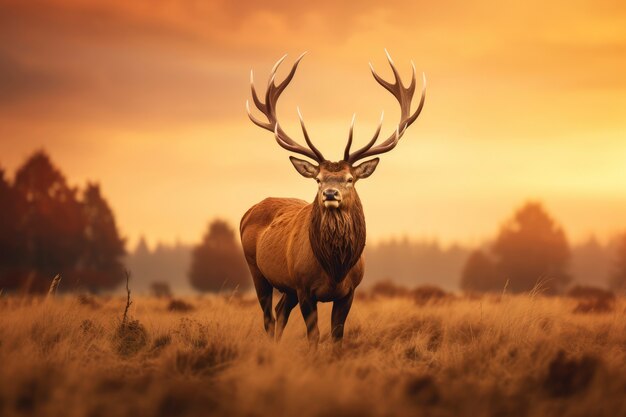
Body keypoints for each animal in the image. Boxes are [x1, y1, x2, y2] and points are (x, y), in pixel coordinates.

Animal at [239, 50, 424, 346]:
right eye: (318, 179)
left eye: (350, 179)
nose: (329, 193)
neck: (335, 268)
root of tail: (248, 212)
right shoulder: (304, 287)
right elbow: (313, 336)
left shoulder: (349, 292)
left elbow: (337, 337)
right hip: (257, 270)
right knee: (268, 316)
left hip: (286, 287)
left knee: (280, 311)